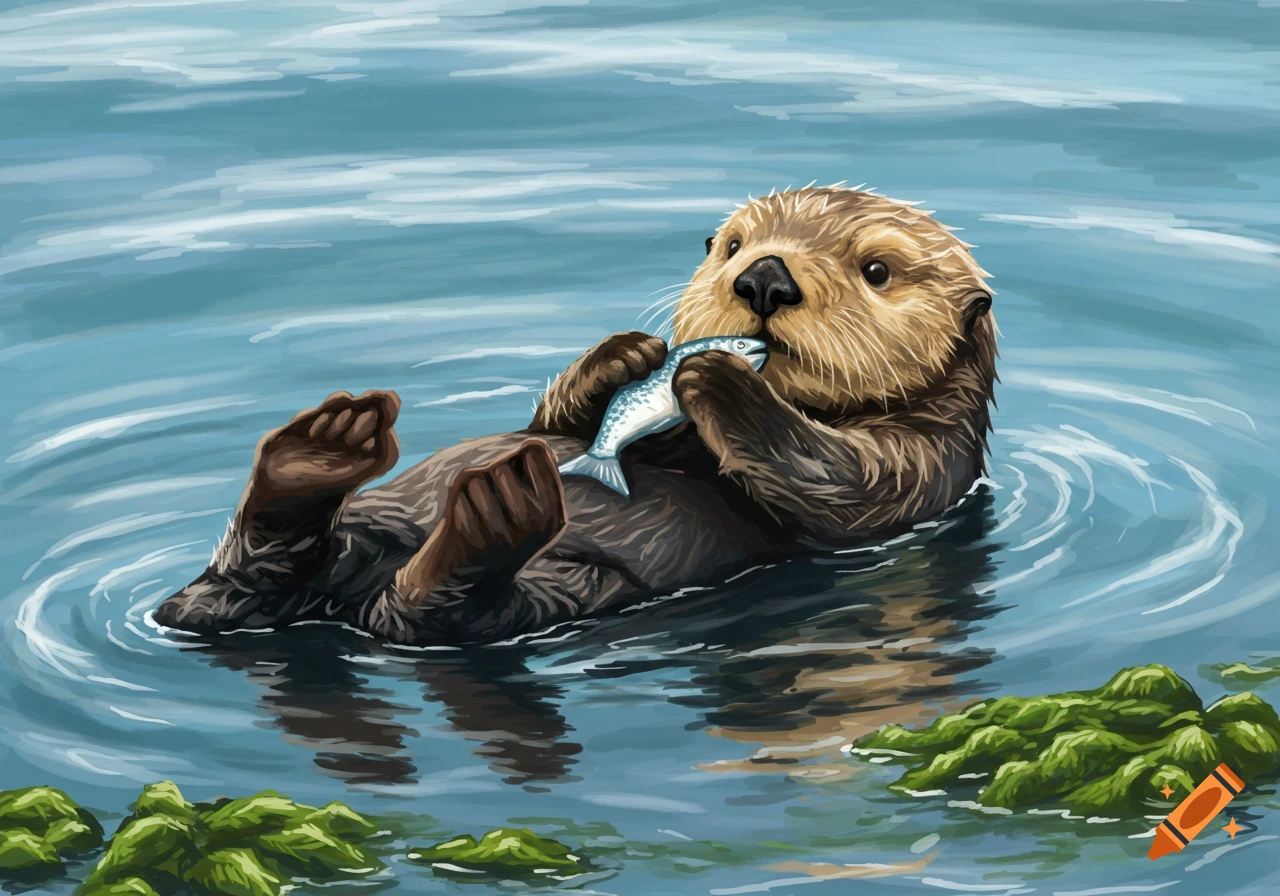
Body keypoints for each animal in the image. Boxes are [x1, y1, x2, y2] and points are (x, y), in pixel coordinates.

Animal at [155, 187, 997, 646]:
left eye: (877, 269)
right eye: (732, 244)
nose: (763, 278)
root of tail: (342, 605)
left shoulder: (928, 459)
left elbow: (846, 488)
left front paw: (720, 379)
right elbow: (549, 425)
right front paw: (624, 356)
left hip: (556, 592)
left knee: (427, 616)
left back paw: (490, 515)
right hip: (320, 555)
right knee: (237, 582)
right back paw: (320, 451)